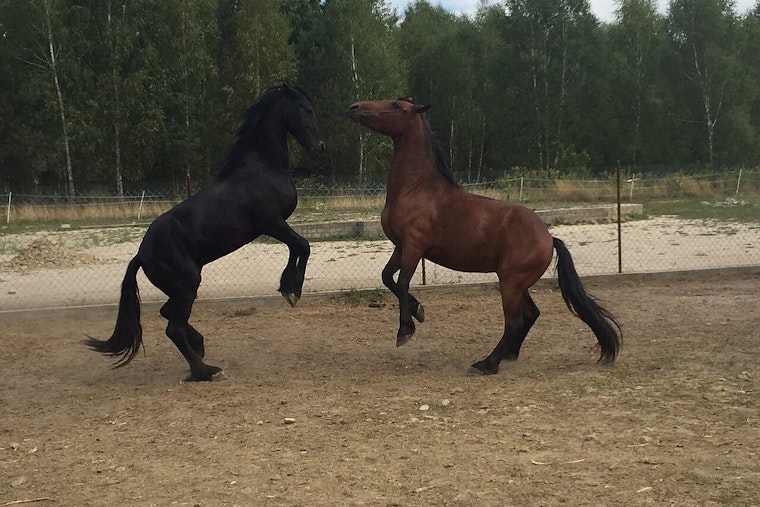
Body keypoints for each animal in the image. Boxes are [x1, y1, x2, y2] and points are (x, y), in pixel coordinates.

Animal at [86, 84, 325, 381]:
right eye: (307, 110)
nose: (320, 147)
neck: (262, 169)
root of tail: (141, 255)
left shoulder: (275, 225)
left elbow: (297, 247)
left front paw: (287, 287)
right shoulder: (272, 223)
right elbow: (302, 245)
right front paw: (292, 290)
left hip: (181, 288)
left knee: (168, 314)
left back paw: (199, 348)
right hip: (187, 284)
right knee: (173, 327)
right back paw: (206, 371)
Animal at [346, 98, 621, 374]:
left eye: (395, 105)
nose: (354, 108)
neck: (415, 188)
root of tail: (549, 238)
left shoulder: (414, 247)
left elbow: (402, 283)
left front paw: (405, 330)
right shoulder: (400, 247)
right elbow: (387, 277)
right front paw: (418, 310)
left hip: (510, 283)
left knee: (514, 322)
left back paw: (488, 363)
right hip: (517, 283)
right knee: (531, 314)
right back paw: (508, 355)